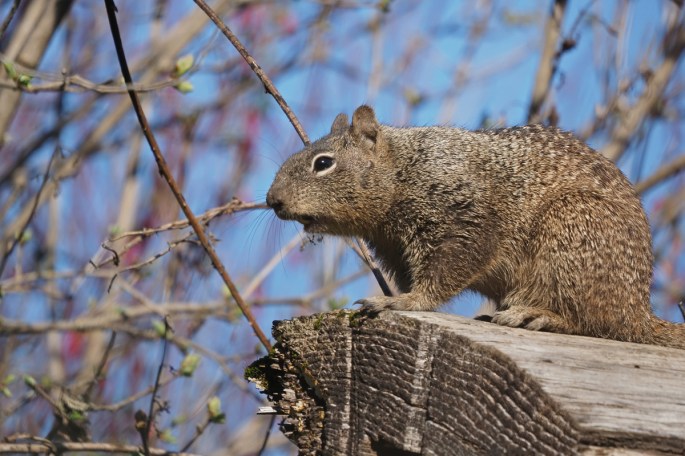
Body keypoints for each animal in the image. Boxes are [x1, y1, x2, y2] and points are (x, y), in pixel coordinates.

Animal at [266, 105, 685, 349]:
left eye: (323, 163)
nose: (273, 201)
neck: (404, 170)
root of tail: (637, 312)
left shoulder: (464, 220)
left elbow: (446, 272)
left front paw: (403, 302)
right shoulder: (393, 249)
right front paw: (400, 296)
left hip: (572, 233)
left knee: (597, 324)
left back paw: (539, 316)